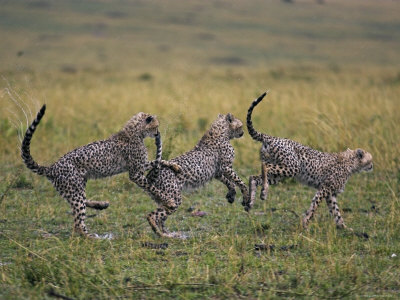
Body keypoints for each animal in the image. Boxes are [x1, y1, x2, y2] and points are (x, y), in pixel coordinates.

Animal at [21, 104, 179, 238]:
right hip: (74, 189)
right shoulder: (135, 174)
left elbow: (158, 161)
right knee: (78, 223)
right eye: (156, 126)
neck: (135, 132)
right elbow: (153, 187)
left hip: (75, 186)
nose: (158, 133)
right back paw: (92, 237)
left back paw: (101, 205)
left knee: (80, 204)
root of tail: (52, 166)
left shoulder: (140, 166)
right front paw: (169, 201)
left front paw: (175, 166)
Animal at [245, 91, 374, 230]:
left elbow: (336, 212)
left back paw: (253, 199)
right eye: (370, 160)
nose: (372, 166)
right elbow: (314, 206)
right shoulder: (325, 188)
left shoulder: (330, 194)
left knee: (254, 177)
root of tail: (271, 137)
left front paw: (343, 227)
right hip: (292, 168)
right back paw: (263, 190)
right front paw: (306, 223)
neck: (350, 162)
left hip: (278, 174)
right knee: (265, 167)